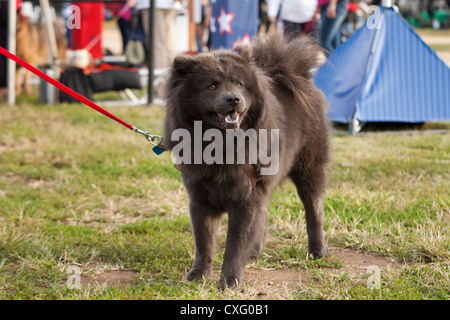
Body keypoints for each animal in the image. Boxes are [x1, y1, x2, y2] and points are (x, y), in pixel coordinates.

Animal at [163, 35, 328, 290]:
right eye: (212, 86)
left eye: (239, 84)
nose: (233, 98)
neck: (220, 147)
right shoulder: (200, 199)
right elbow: (203, 243)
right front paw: (198, 274)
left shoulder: (244, 200)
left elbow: (234, 245)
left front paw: (230, 280)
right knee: (264, 215)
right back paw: (254, 253)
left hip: (309, 171)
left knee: (314, 211)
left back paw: (316, 252)